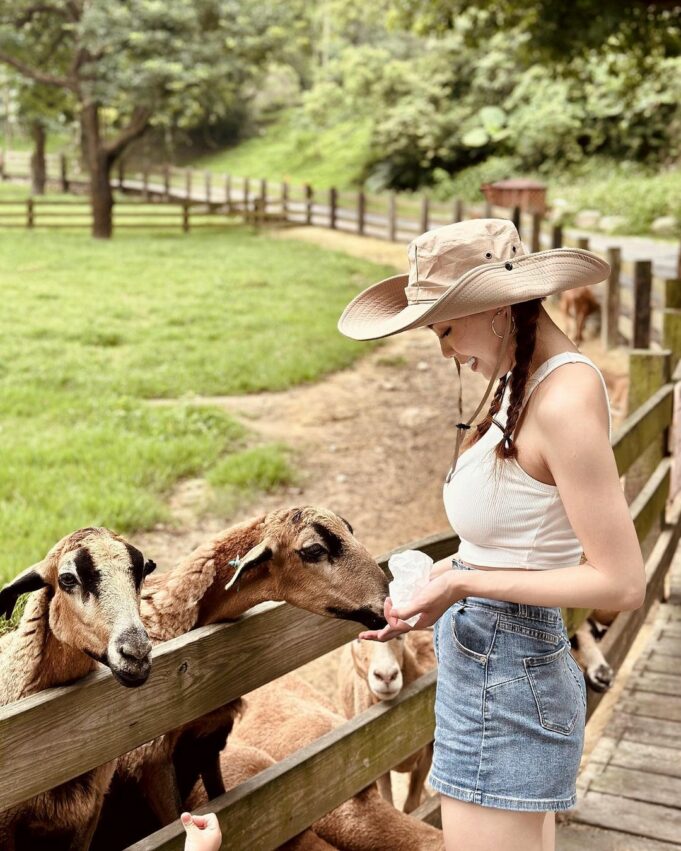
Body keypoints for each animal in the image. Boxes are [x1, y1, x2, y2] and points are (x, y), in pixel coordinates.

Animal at [336, 628, 436, 816]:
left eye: (400, 635)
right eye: (357, 640)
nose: (387, 676)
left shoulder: (429, 749)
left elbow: (411, 805)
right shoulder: (378, 765)